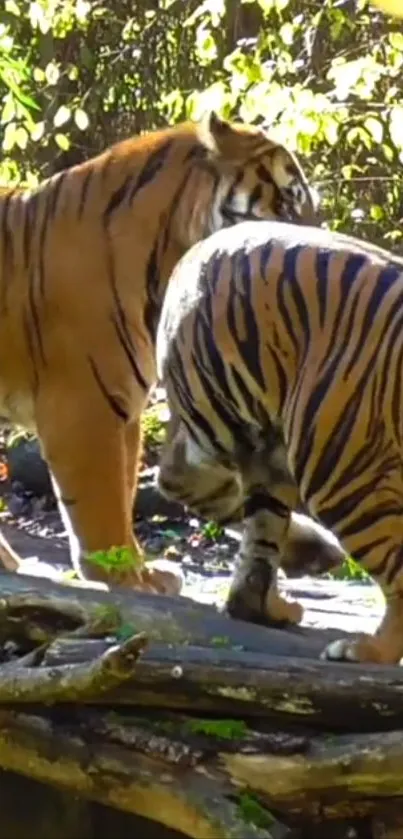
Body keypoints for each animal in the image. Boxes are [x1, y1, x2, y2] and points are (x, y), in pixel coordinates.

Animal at [0, 113, 318, 596]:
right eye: (287, 200)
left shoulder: (123, 406)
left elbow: (123, 493)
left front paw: (143, 573)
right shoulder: (83, 407)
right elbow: (99, 505)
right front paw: (120, 578)